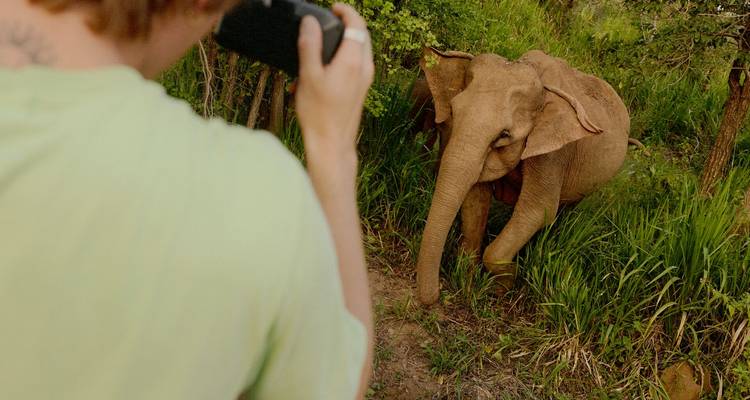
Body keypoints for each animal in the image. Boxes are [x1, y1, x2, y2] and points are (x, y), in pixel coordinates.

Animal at [415, 47, 631, 305]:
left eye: (504, 134)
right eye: (454, 113)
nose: (436, 295)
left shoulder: (553, 153)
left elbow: (538, 210)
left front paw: (501, 287)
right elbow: (476, 197)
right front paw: (468, 280)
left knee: (566, 208)